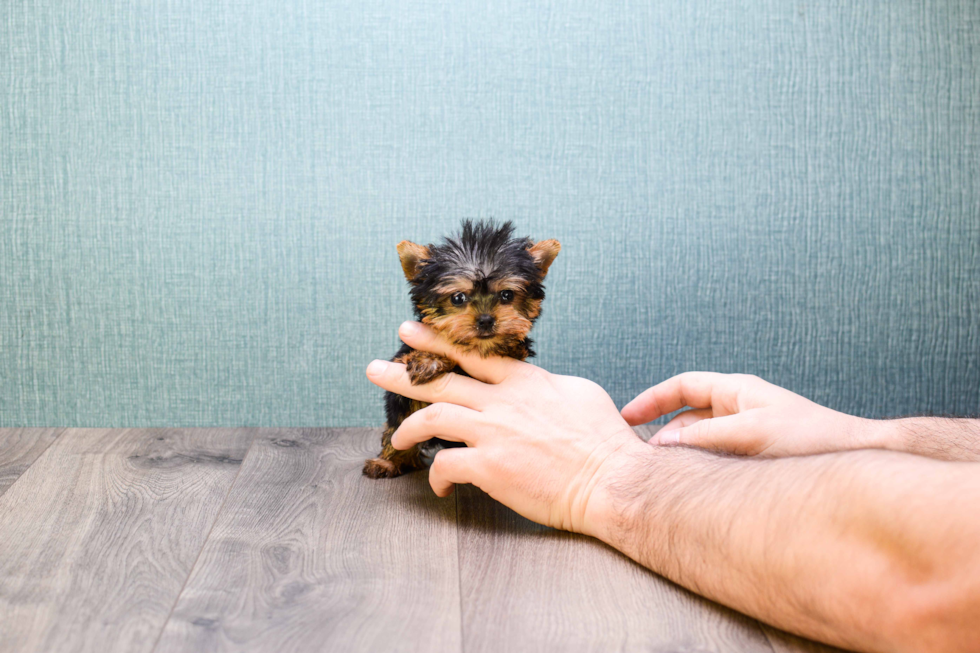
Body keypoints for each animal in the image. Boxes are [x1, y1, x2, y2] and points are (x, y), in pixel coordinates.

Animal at [364, 219, 560, 478]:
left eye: (507, 295)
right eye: (458, 298)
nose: (486, 320)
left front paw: (511, 347)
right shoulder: (402, 370)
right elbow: (400, 418)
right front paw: (428, 359)